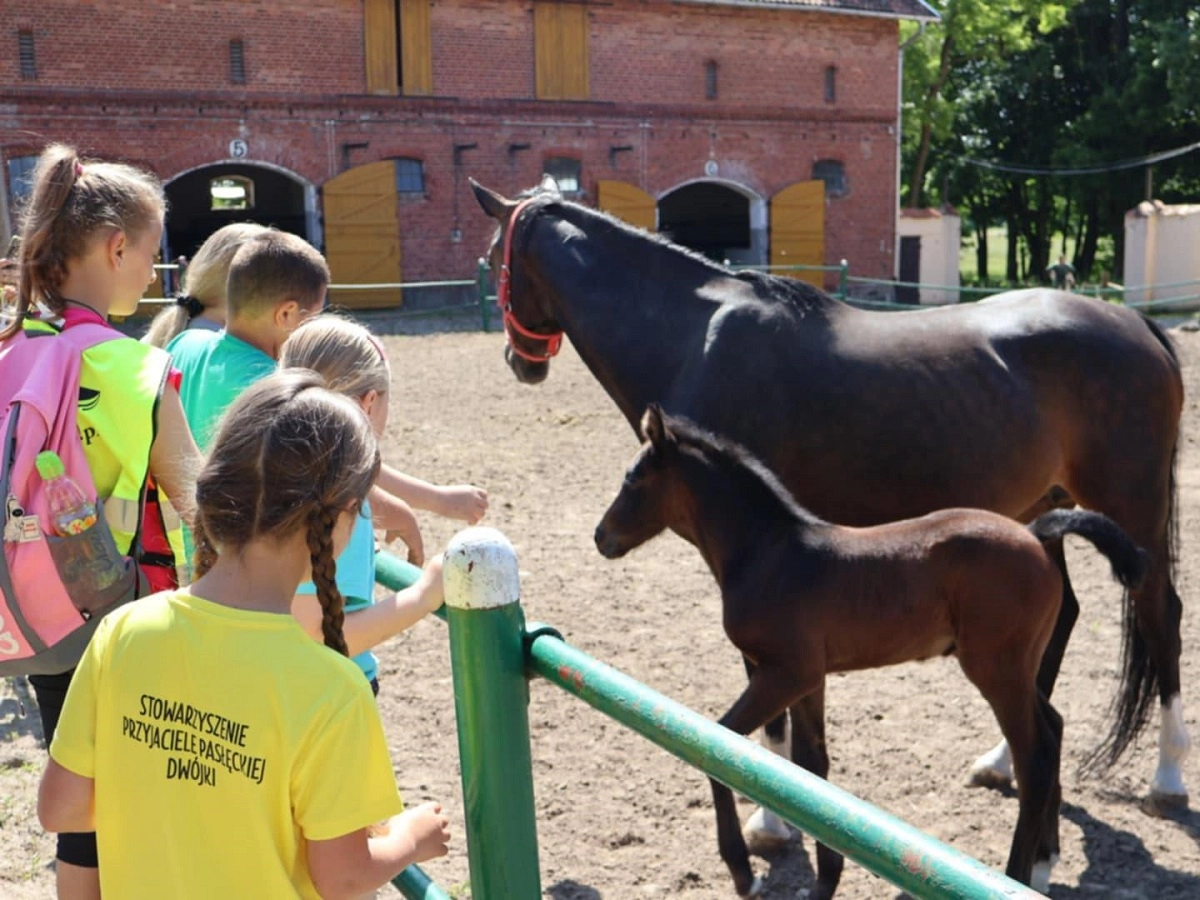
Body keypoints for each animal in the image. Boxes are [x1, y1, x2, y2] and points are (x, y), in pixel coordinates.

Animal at [470, 178, 1190, 826]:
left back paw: (1168, 777)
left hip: (1131, 507)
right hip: (1040, 512)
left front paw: (772, 822)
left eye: (492, 256)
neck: (695, 336)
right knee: (1063, 620)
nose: (517, 361)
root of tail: (1137, 324)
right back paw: (1003, 762)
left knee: (1161, 615)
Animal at [594, 405, 1149, 898]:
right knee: (1053, 729)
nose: (602, 536)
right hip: (1018, 666)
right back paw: (1042, 864)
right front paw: (823, 884)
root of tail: (1036, 534)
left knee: (1034, 758)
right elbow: (810, 769)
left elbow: (722, 745)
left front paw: (744, 874)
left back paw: (1015, 876)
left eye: (633, 479)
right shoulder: (809, 678)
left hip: (996, 669)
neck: (768, 553)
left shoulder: (784, 673)